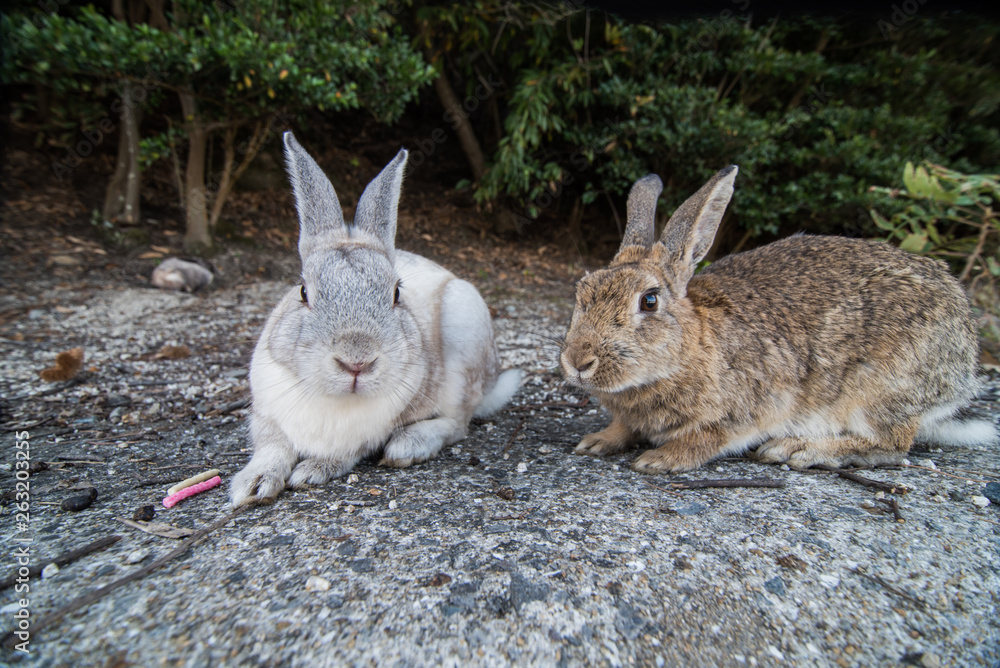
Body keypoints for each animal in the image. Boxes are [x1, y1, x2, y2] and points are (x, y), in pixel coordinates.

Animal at [230, 132, 522, 506]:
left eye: (397, 293)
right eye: (303, 291)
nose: (357, 361)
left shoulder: (366, 436)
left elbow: (345, 453)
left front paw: (311, 471)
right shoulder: (266, 417)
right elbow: (272, 447)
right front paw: (252, 486)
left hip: (465, 339)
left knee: (458, 424)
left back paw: (409, 445)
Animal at [561, 166, 995, 473]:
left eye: (649, 301)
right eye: (582, 291)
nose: (579, 361)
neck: (690, 348)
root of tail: (964, 369)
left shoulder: (746, 410)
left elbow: (707, 437)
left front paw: (661, 459)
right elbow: (624, 427)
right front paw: (597, 441)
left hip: (880, 387)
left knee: (893, 446)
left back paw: (799, 448)